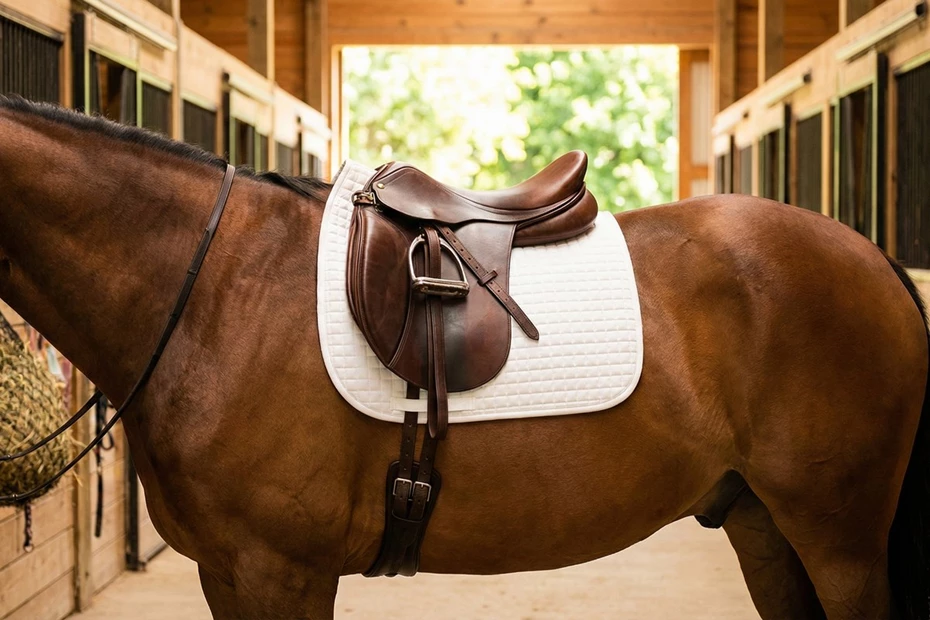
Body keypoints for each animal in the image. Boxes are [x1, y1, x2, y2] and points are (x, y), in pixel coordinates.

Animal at [0, 95, 927, 620]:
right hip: (762, 525)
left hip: (839, 540)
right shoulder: (226, 576)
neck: (219, 287)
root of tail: (874, 256)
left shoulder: (279, 574)